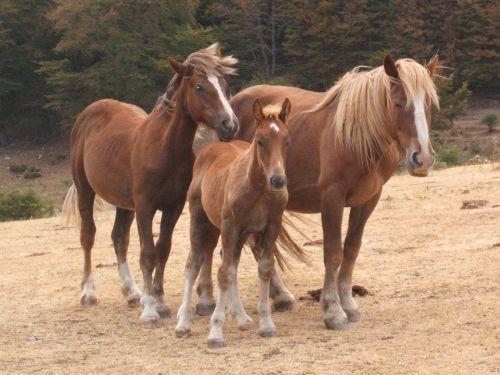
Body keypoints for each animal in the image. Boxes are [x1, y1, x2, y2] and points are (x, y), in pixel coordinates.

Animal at [63, 41, 240, 324]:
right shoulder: (145, 207)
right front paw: (150, 310)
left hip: (124, 203)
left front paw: (159, 300)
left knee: (119, 238)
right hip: (85, 191)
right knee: (88, 235)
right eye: (198, 86)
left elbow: (163, 250)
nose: (230, 125)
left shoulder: (173, 207)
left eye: (224, 85)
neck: (164, 148)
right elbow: (147, 254)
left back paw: (132, 292)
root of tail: (88, 113)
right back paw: (88, 293)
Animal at [176, 97, 300, 350]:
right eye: (260, 141)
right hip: (200, 218)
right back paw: (183, 323)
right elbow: (224, 273)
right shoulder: (230, 227)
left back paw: (242, 317)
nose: (278, 180)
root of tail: (210, 148)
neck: (258, 189)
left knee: (230, 261)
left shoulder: (269, 228)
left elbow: (263, 268)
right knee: (194, 263)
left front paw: (266, 324)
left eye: (287, 140)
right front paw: (215, 333)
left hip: (241, 234)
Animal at [193, 54, 440, 330]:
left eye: (429, 104)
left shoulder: (367, 200)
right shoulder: (332, 199)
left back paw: (280, 297)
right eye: (398, 103)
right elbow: (332, 253)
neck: (356, 137)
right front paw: (333, 310)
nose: (423, 159)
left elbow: (351, 250)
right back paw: (210, 300)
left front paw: (349, 305)